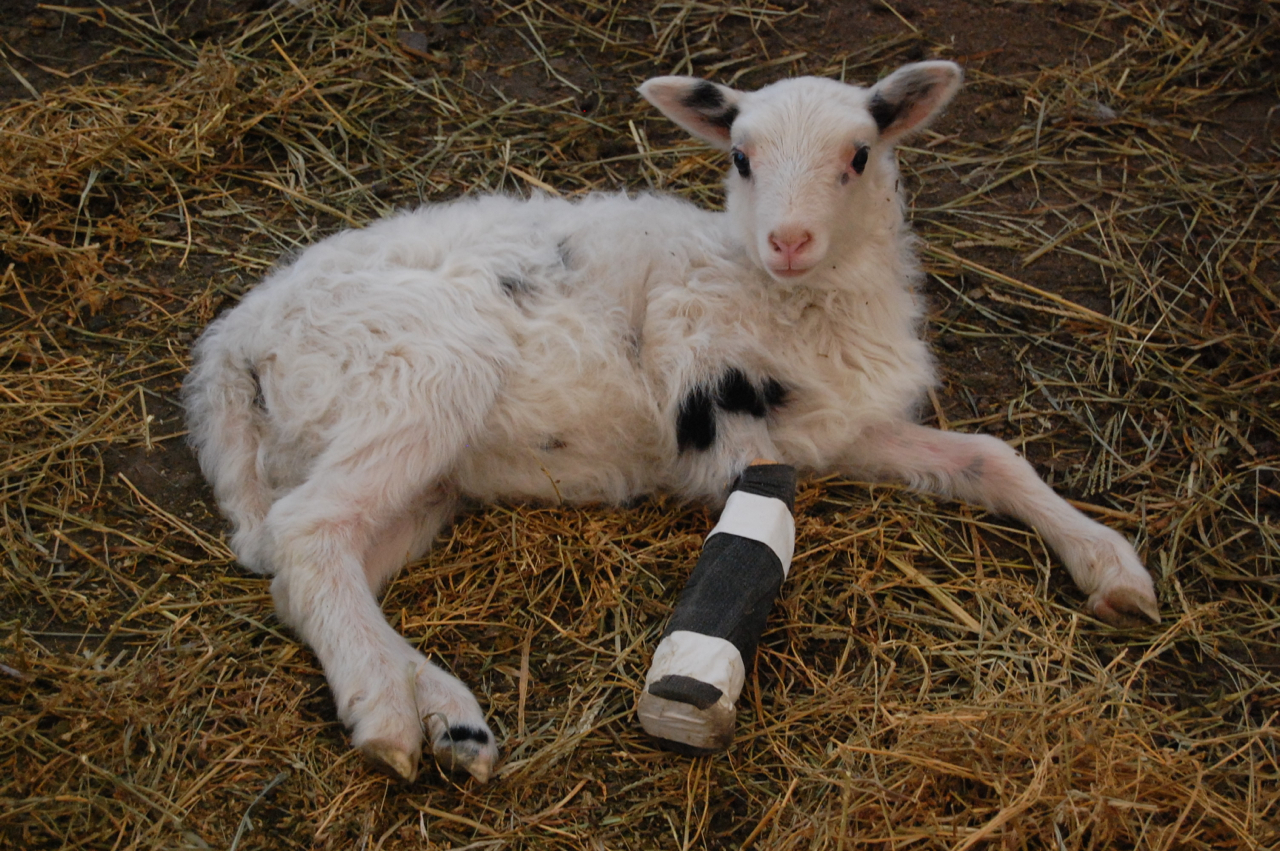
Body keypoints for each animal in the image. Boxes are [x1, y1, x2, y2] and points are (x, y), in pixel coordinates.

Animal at [182, 60, 1161, 785]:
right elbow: (753, 531)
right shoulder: (720, 404)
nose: (789, 241)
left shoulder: (838, 426)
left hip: (423, 473)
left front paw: (1112, 566)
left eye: (859, 154)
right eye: (740, 158)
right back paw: (389, 716)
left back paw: (448, 720)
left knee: (321, 568)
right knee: (308, 533)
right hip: (420, 375)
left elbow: (989, 458)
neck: (783, 298)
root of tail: (237, 341)